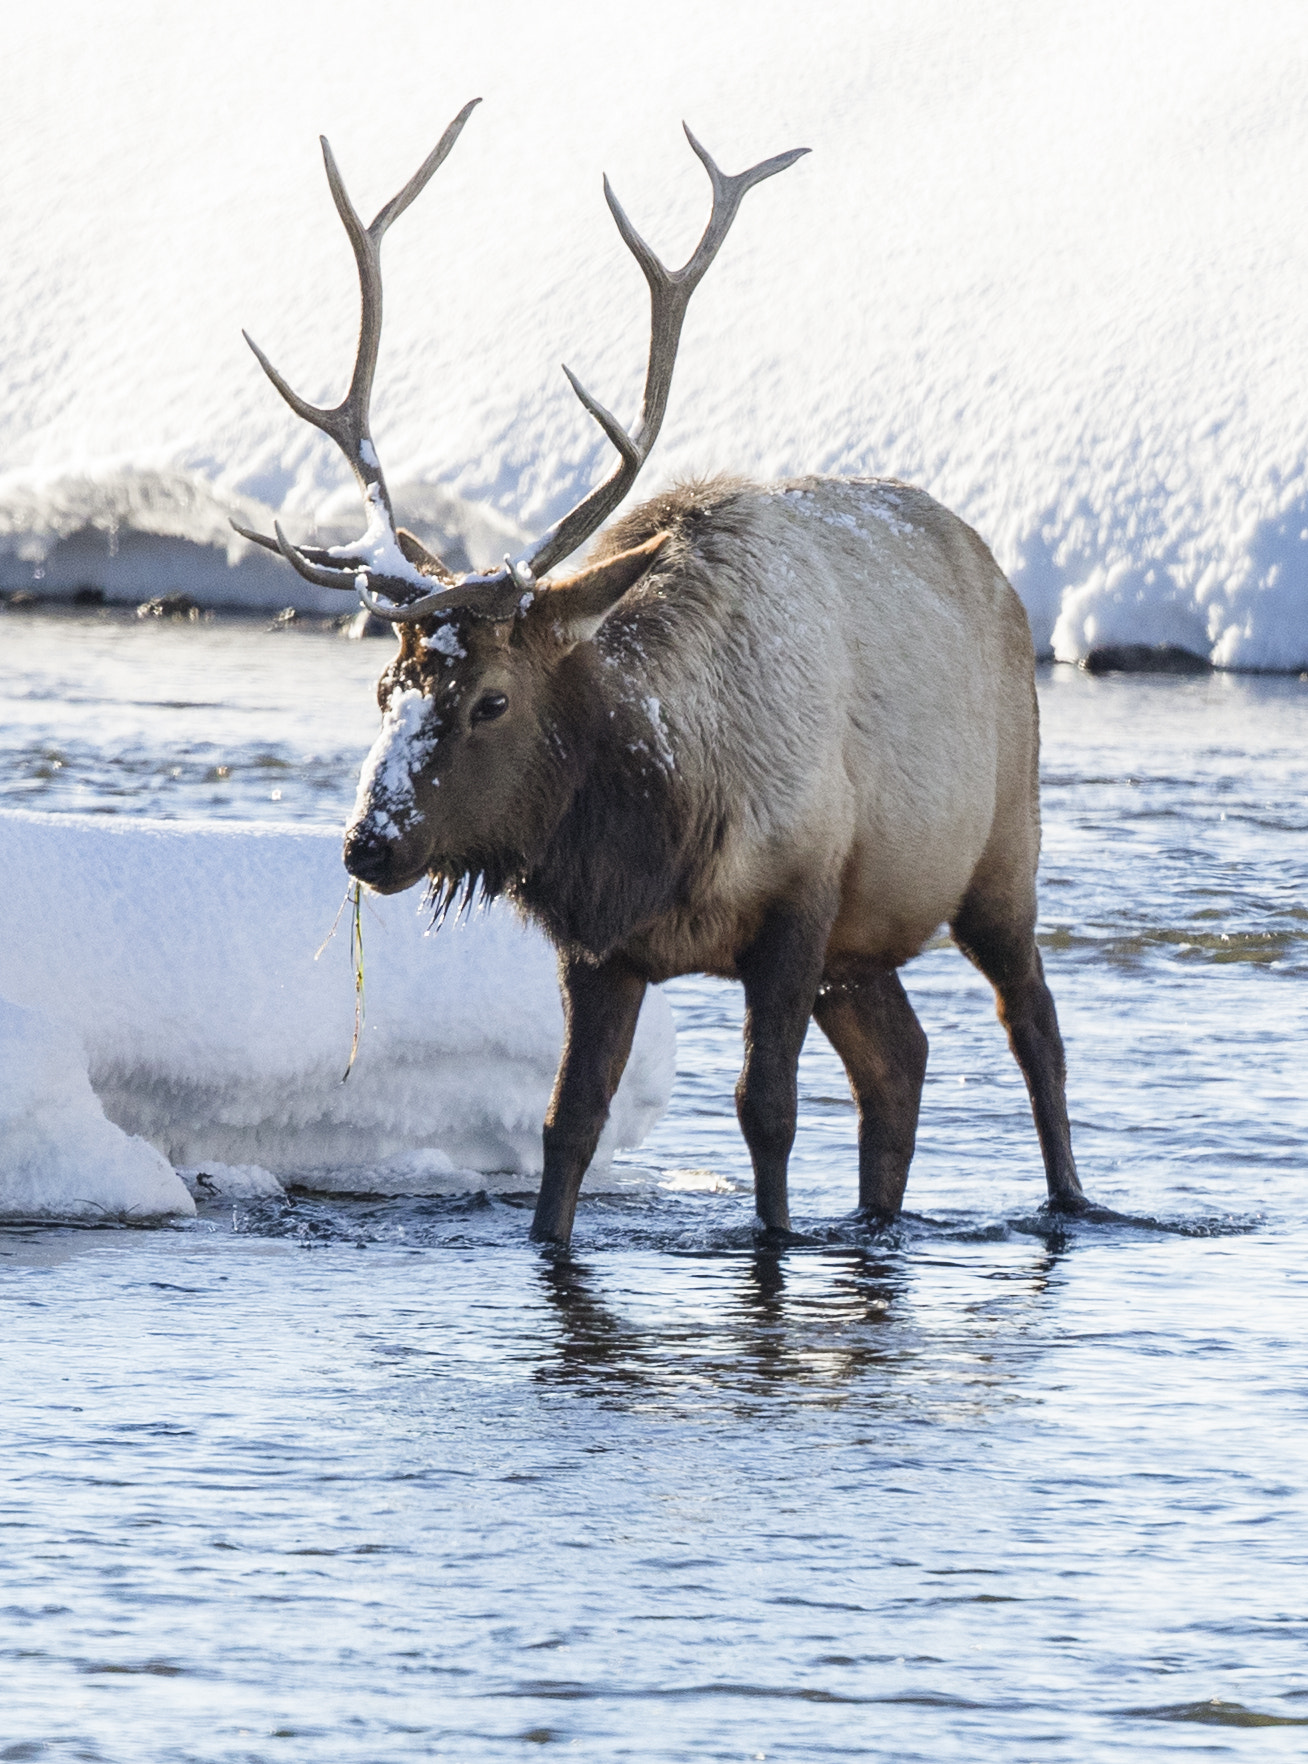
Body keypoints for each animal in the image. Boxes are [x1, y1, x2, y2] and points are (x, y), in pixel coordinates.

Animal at [236, 103, 1094, 1248]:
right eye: (388, 689)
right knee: (901, 1062)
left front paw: (774, 1238)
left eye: (492, 699)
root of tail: (997, 572)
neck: (663, 815)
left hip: (1001, 853)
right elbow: (568, 1120)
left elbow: (766, 1110)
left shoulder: (800, 900)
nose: (368, 843)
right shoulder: (603, 947)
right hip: (865, 944)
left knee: (1033, 1023)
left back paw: (1072, 1200)